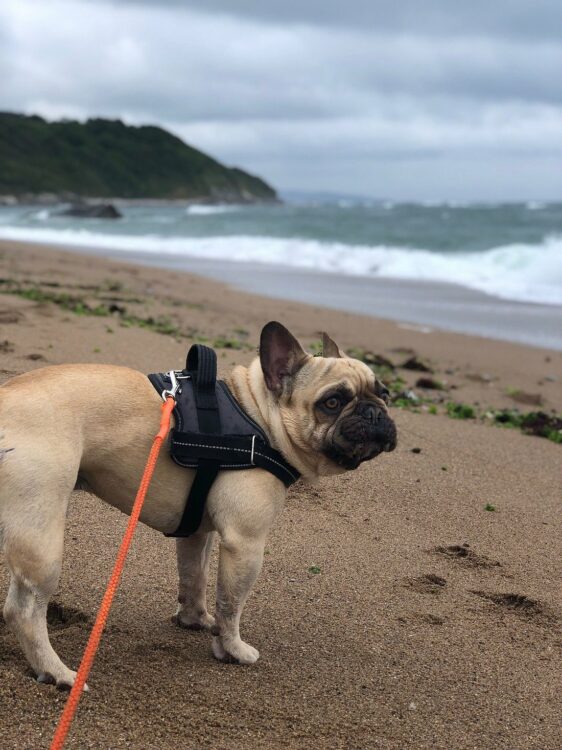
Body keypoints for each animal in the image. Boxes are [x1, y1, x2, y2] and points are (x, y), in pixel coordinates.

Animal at [0, 322, 394, 688]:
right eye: (332, 402)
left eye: (385, 393)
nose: (375, 413)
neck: (260, 417)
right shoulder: (246, 543)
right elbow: (232, 603)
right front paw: (231, 648)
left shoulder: (197, 533)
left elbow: (195, 576)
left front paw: (195, 620)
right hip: (42, 533)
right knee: (24, 609)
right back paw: (57, 672)